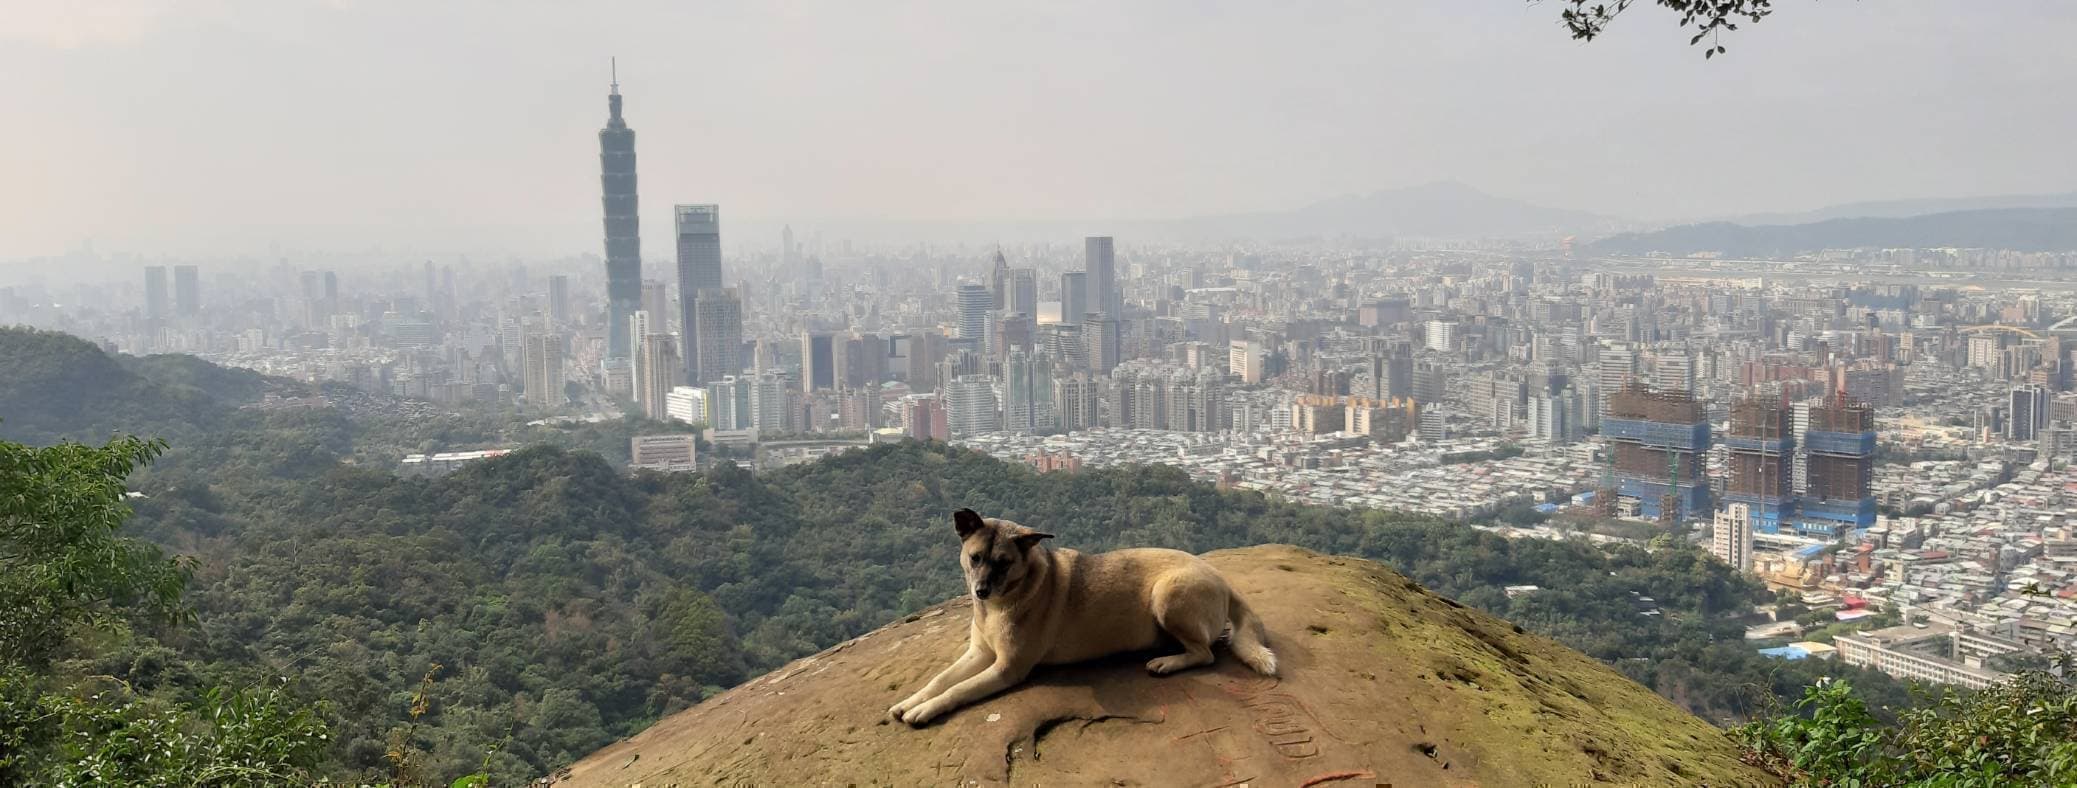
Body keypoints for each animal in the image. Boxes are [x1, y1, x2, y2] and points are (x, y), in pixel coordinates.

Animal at [884, 511, 1271, 727]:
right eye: (975, 557)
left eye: (1004, 563)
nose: (980, 591)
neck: (1004, 600)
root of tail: (1222, 579)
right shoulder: (980, 653)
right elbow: (940, 679)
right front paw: (911, 701)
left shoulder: (1007, 668)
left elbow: (958, 689)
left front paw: (927, 709)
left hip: (1167, 594)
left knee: (1205, 653)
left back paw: (1167, 661)